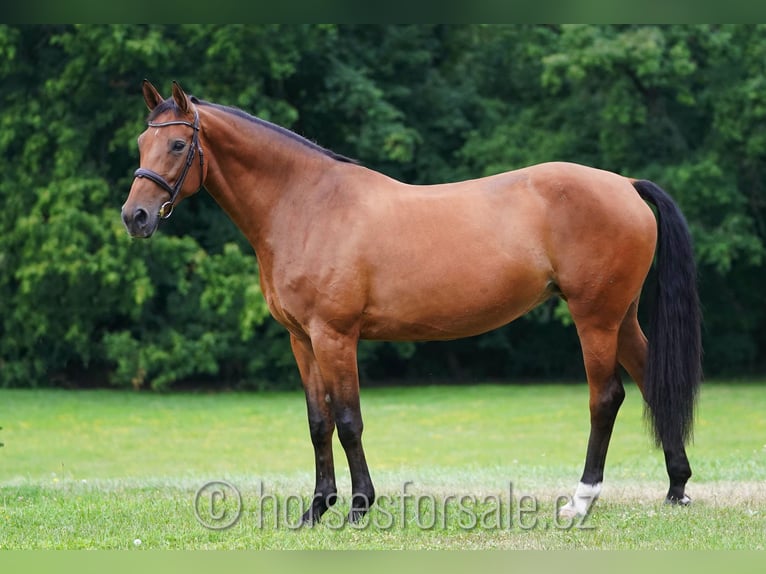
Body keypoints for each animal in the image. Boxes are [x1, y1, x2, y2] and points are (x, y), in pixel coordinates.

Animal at [120, 81, 704, 528]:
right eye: (142, 143)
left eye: (178, 145)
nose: (135, 217)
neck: (307, 205)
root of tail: (625, 184)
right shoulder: (302, 339)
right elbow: (317, 422)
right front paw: (316, 509)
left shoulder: (335, 335)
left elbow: (349, 419)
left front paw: (358, 507)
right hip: (620, 317)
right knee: (652, 380)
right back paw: (676, 488)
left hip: (594, 318)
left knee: (606, 398)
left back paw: (580, 502)